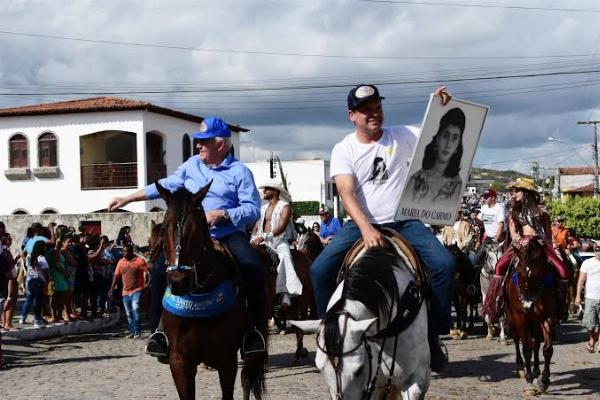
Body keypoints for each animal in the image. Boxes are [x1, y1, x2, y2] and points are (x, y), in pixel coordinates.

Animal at [155, 184, 268, 400]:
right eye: (164, 228)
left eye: (197, 229)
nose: (178, 282)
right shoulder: (179, 361)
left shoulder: (227, 359)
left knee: (249, 378)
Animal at [504, 239, 556, 396]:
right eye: (519, 272)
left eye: (536, 273)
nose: (527, 305)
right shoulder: (520, 317)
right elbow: (526, 349)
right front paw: (529, 382)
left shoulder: (547, 317)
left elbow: (547, 349)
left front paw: (544, 380)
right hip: (513, 317)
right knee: (517, 339)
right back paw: (521, 368)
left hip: (535, 321)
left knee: (536, 343)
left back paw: (536, 371)